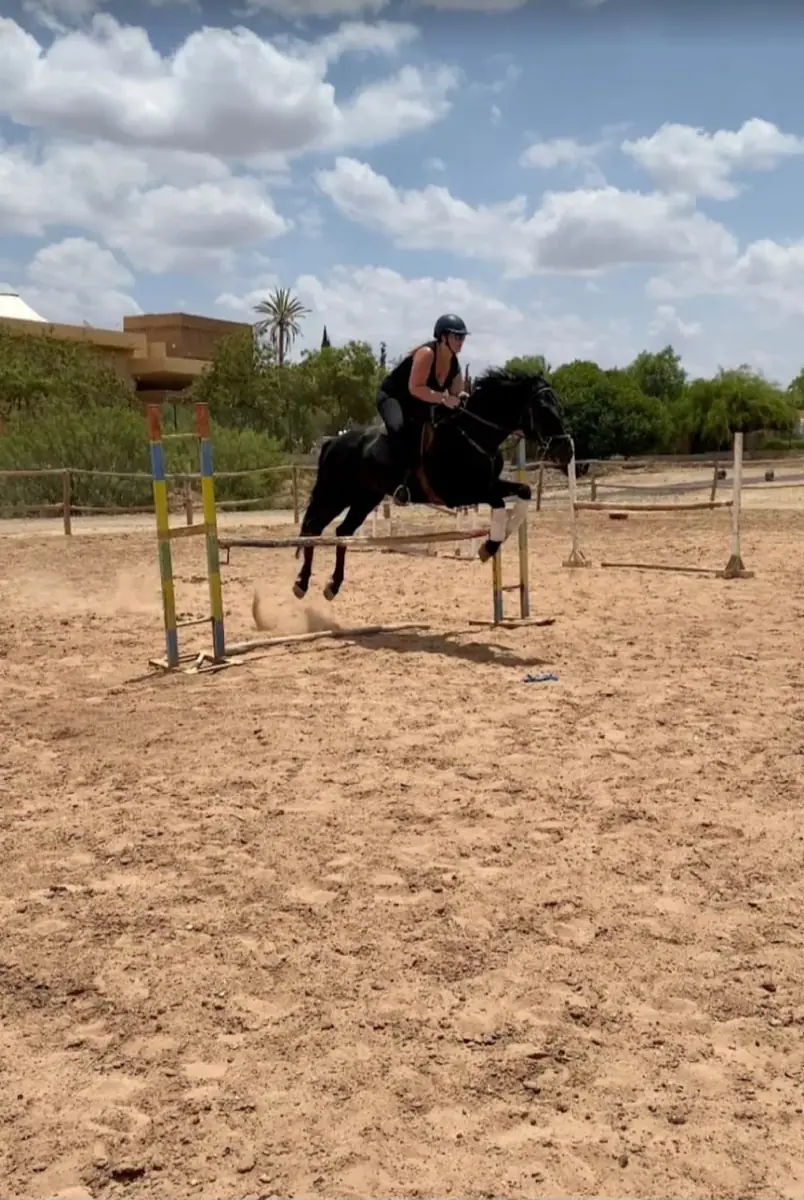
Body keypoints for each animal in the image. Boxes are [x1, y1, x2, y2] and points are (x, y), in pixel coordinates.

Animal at [292, 367, 574, 601]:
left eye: (559, 407)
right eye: (543, 409)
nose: (566, 452)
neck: (472, 433)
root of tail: (333, 441)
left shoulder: (487, 484)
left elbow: (523, 491)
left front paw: (499, 537)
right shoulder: (460, 493)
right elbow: (498, 502)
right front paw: (489, 546)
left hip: (365, 497)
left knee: (342, 531)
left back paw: (332, 586)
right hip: (336, 493)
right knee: (312, 527)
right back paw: (301, 584)